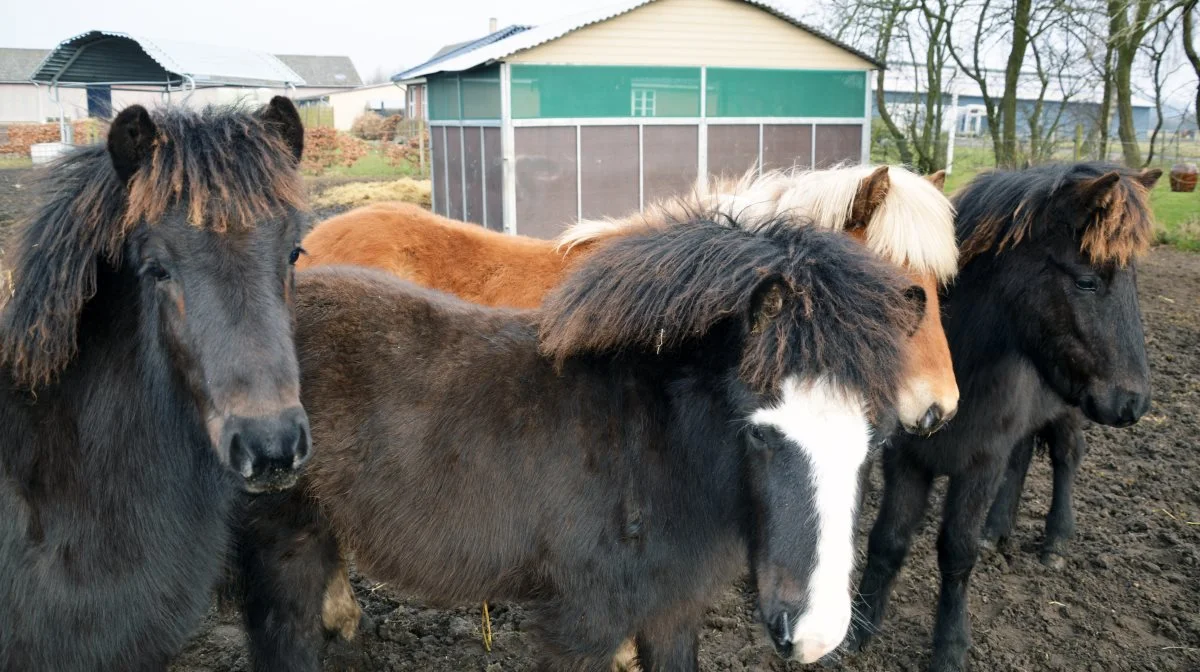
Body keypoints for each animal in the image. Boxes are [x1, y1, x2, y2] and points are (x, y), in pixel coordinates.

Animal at [844, 164, 1161, 672]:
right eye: (1087, 281)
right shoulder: (905, 459)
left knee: (1066, 458)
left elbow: (956, 552)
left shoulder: (980, 463)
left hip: (1070, 411)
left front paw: (950, 648)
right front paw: (859, 629)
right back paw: (997, 530)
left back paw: (1055, 541)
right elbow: (887, 540)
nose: (1133, 403)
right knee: (1024, 455)